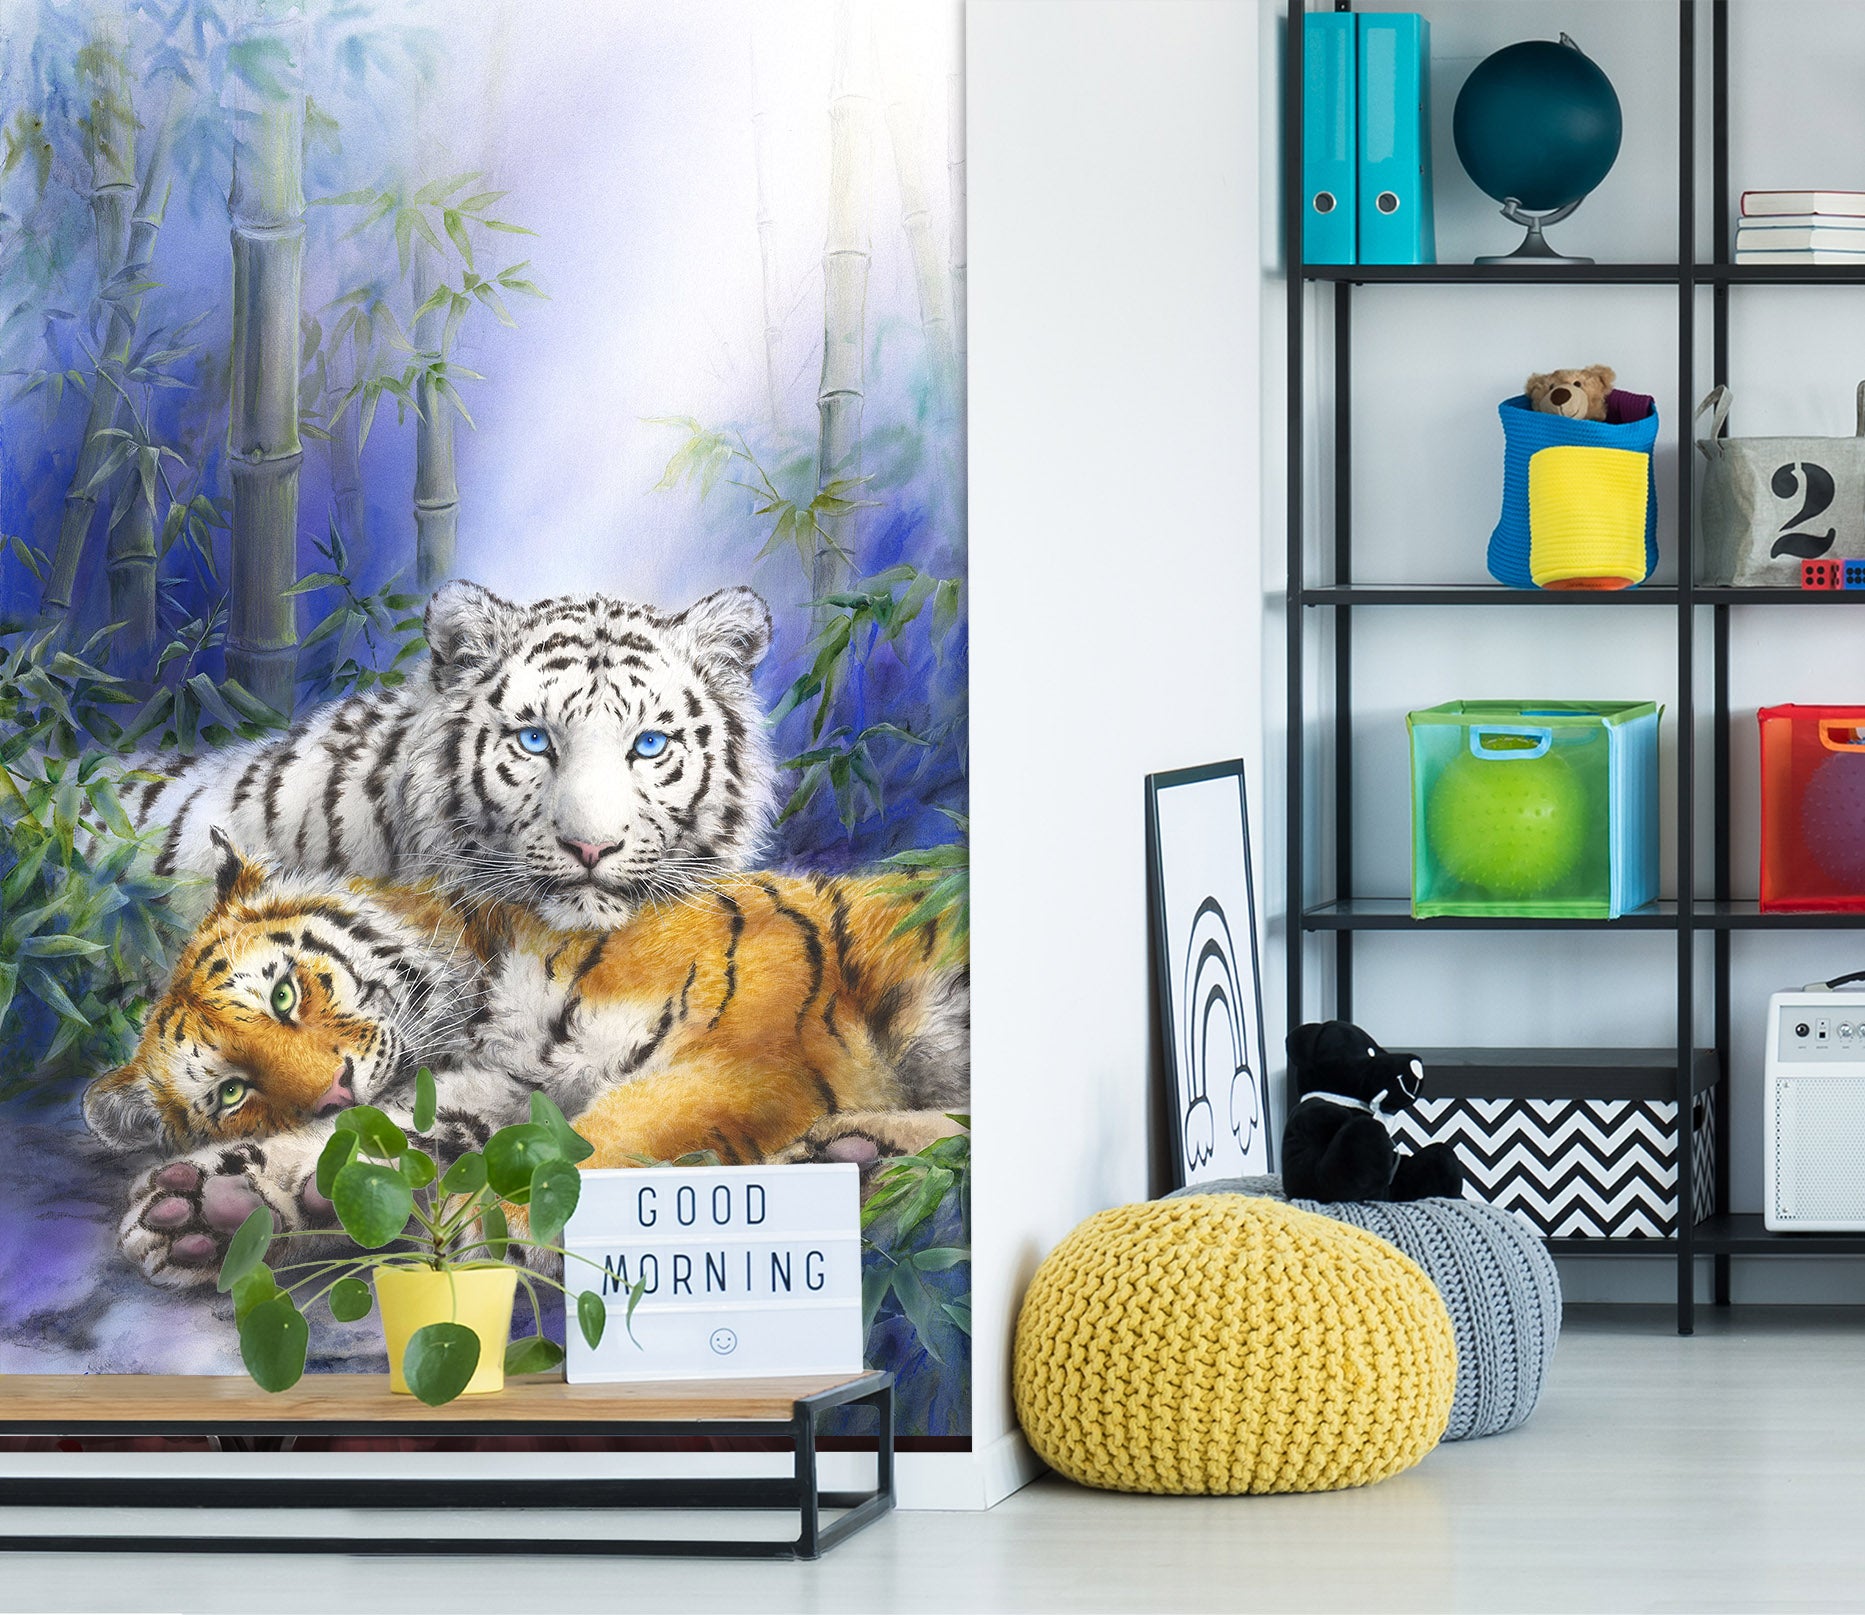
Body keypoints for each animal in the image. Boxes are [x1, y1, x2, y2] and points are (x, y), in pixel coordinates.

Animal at [85, 830, 969, 1288]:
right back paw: (853, 1161)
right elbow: (396, 1138)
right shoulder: (498, 1088)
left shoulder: (752, 1047)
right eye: (232, 1093)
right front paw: (205, 1207)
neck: (479, 1016)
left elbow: (627, 1127)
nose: (333, 1091)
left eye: (283, 995)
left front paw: (513, 1227)